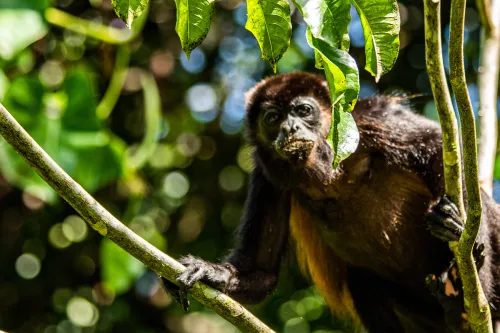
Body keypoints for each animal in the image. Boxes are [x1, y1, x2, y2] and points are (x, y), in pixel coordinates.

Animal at [167, 73, 500, 332]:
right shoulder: (266, 179)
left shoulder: (370, 119)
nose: (289, 128)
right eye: (272, 118)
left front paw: (451, 220)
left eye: (303, 110)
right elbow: (261, 271)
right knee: (361, 280)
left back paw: (463, 291)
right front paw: (209, 272)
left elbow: (436, 145)